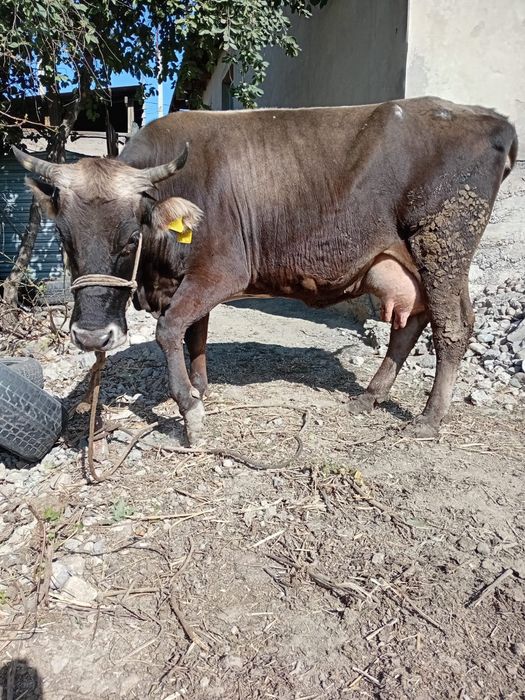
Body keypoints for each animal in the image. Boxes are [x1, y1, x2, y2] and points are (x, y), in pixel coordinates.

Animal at [13, 96, 518, 445]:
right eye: (64, 239)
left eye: (131, 238)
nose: (91, 337)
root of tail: (490, 118)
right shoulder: (190, 280)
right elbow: (196, 332)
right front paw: (201, 388)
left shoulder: (221, 272)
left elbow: (170, 329)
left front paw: (189, 411)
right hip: (410, 261)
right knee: (414, 321)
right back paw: (370, 396)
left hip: (443, 246)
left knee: (451, 327)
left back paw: (429, 419)